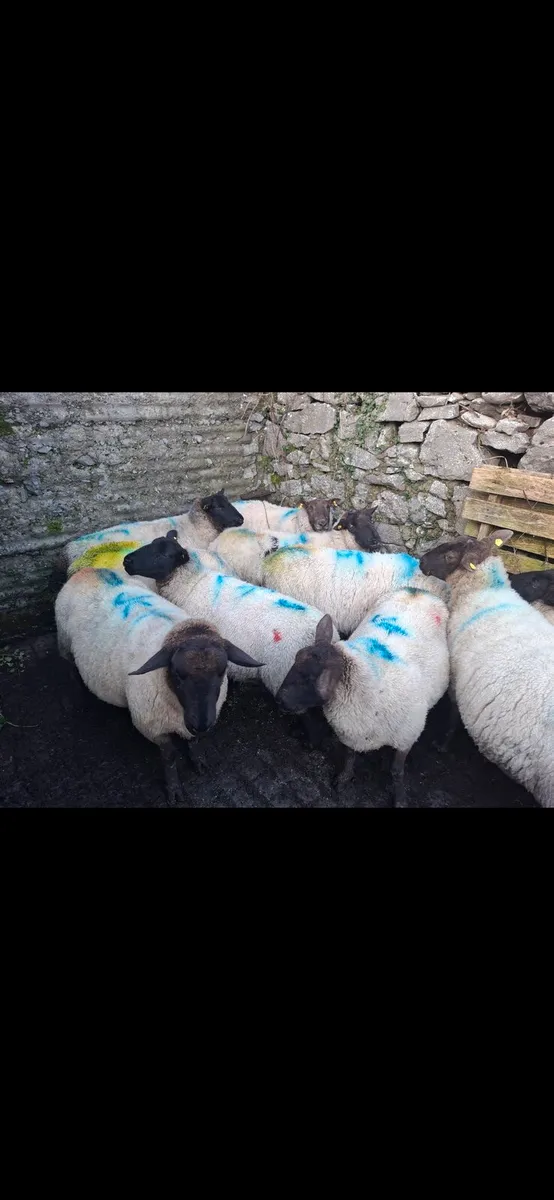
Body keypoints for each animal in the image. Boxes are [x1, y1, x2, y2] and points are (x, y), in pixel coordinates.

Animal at [55, 565, 262, 805]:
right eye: (178, 674)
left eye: (222, 671)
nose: (200, 724)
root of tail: (89, 570)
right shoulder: (152, 726)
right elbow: (170, 757)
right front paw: (174, 790)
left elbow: (195, 742)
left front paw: (198, 761)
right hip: (64, 641)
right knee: (67, 666)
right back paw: (72, 698)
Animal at [276, 586, 450, 806]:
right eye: (296, 659)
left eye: (311, 678)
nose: (279, 699)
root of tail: (418, 590)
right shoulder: (352, 733)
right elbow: (350, 757)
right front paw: (344, 779)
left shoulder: (406, 738)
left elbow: (397, 772)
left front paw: (400, 798)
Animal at [419, 530, 554, 808]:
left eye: (450, 555)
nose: (421, 561)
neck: (482, 591)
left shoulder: (455, 679)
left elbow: (453, 716)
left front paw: (442, 745)